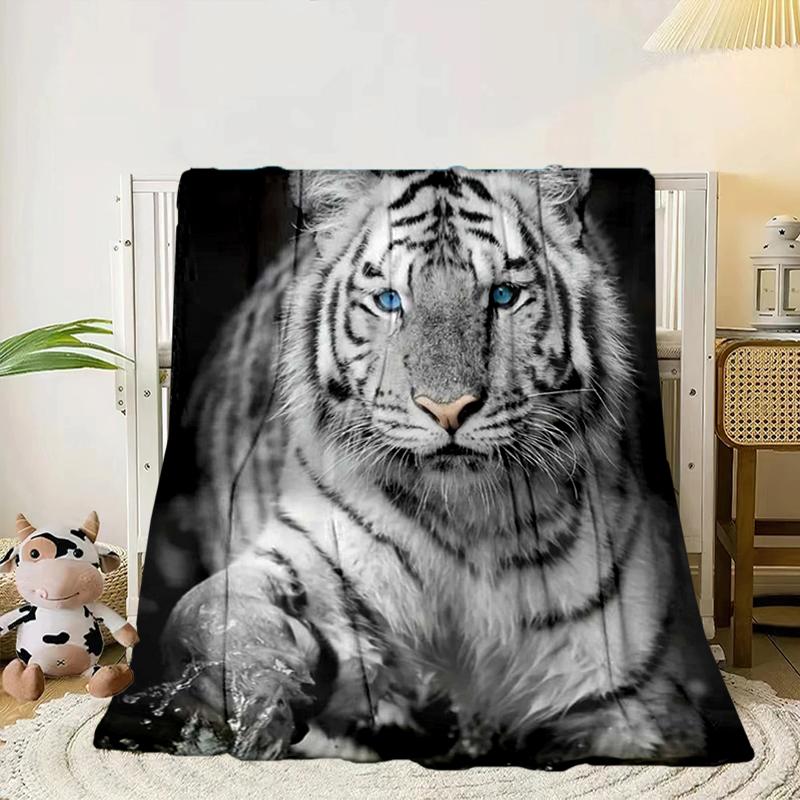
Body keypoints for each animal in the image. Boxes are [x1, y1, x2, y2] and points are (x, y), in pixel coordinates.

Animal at [158, 168, 733, 766]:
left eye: (502, 295)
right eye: (389, 300)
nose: (448, 409)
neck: (470, 520)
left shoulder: (627, 694)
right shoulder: (309, 555)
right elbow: (207, 612)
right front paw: (263, 690)